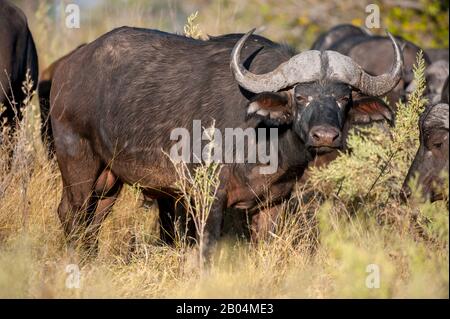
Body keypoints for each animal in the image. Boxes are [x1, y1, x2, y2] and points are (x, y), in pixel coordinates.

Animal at [51, 26, 402, 260]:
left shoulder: (275, 202)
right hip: (77, 158)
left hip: (109, 177)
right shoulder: (207, 196)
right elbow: (206, 247)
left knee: (94, 217)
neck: (264, 137)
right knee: (72, 213)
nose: (325, 136)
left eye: (344, 98)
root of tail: (68, 66)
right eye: (301, 96)